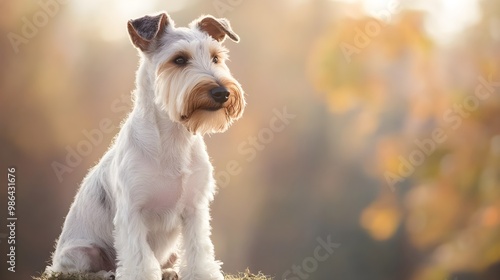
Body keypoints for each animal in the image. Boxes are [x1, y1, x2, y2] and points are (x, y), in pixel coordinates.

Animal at [46, 11, 245, 280]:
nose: (221, 92)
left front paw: (201, 273)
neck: (174, 137)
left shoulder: (195, 208)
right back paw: (106, 273)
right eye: (179, 59)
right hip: (80, 251)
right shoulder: (132, 211)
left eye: (216, 57)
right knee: (76, 270)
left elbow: (198, 249)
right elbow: (139, 256)